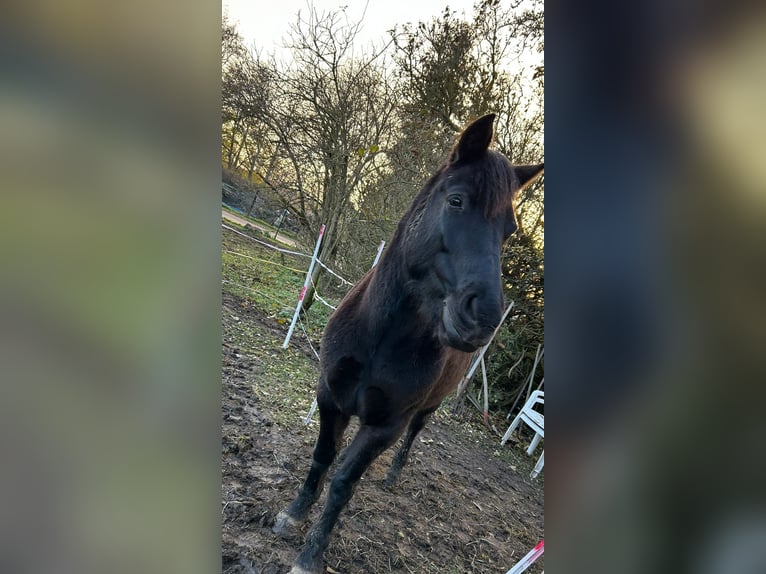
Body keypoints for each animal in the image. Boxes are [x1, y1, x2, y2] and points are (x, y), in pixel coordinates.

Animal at [272, 115, 544, 572]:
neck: (379, 337)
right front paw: (293, 514)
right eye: (456, 201)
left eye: (509, 230)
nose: (483, 317)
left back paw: (393, 474)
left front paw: (311, 553)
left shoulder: (386, 425)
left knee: (414, 436)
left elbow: (344, 481)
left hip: (427, 408)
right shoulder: (330, 396)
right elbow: (324, 457)